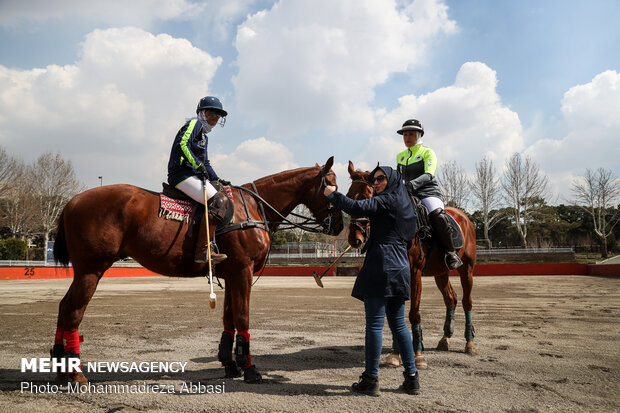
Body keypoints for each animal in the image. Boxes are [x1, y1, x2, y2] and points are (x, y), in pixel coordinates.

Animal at [52, 155, 344, 384]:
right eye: (332, 188)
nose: (340, 225)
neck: (251, 208)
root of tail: (72, 201)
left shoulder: (231, 273)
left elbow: (228, 319)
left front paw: (230, 364)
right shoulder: (243, 271)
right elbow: (242, 318)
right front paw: (250, 368)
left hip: (85, 271)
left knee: (64, 306)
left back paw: (60, 367)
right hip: (91, 269)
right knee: (73, 311)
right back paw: (75, 373)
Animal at [344, 160, 474, 366]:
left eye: (367, 197)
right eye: (349, 196)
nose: (354, 239)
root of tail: (464, 217)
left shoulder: (414, 272)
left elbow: (414, 313)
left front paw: (418, 354)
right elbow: (394, 316)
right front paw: (396, 353)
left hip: (467, 268)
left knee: (466, 301)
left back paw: (469, 343)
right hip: (441, 272)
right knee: (451, 299)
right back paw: (445, 338)